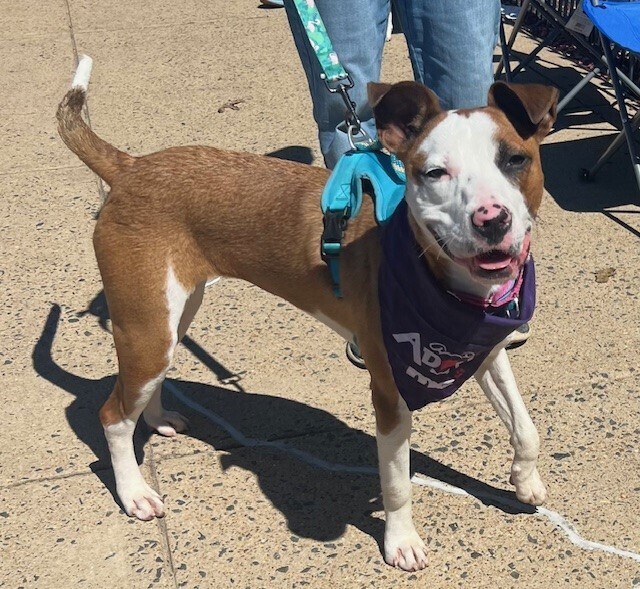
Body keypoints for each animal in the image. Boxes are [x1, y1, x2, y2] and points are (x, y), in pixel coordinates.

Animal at [57, 56, 556, 568]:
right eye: (435, 173)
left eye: (515, 160)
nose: (492, 219)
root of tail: (132, 166)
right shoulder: (391, 394)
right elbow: (397, 483)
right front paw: (400, 541)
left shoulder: (485, 350)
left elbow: (526, 426)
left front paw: (526, 481)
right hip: (144, 327)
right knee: (113, 415)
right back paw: (134, 491)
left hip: (168, 319)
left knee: (148, 383)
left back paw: (156, 419)